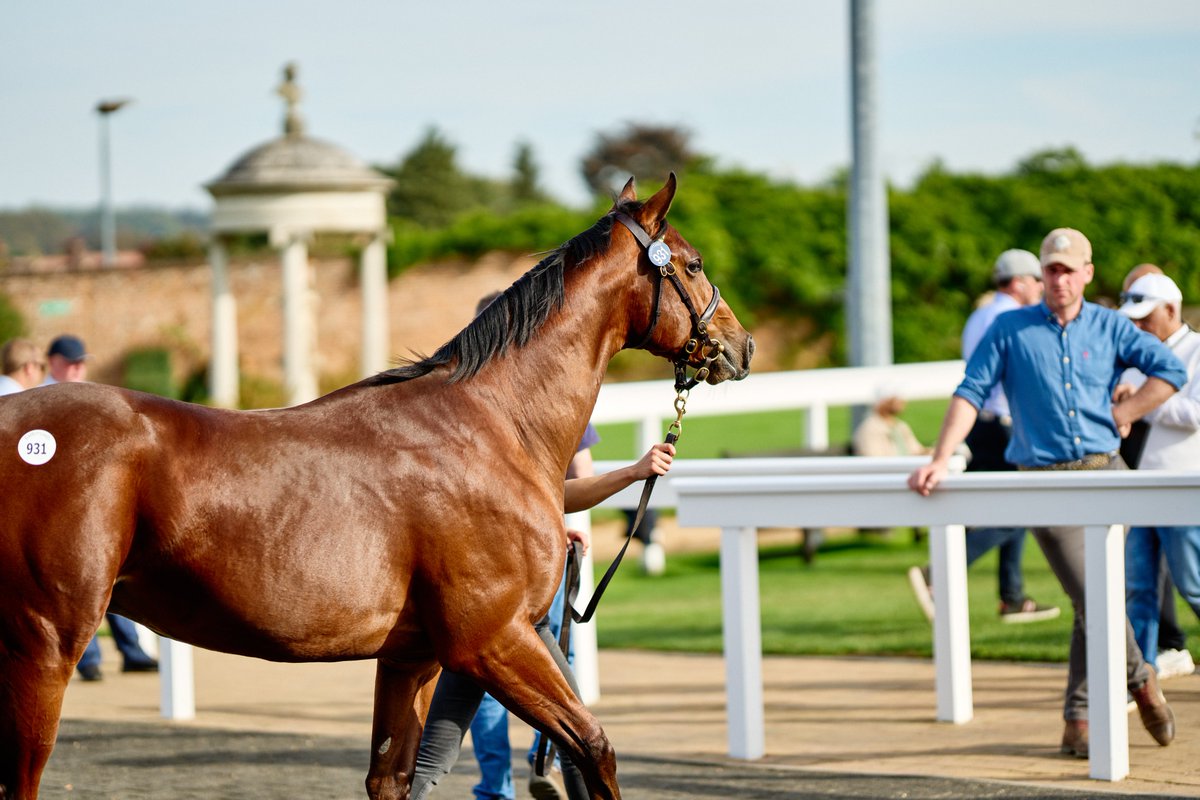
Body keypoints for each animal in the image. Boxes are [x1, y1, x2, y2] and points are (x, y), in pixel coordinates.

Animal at [0, 172, 748, 796]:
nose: (741, 348)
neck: (493, 423)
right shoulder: (492, 640)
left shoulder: (412, 657)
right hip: (44, 644)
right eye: (693, 263)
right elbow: (593, 748)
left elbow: (393, 777)